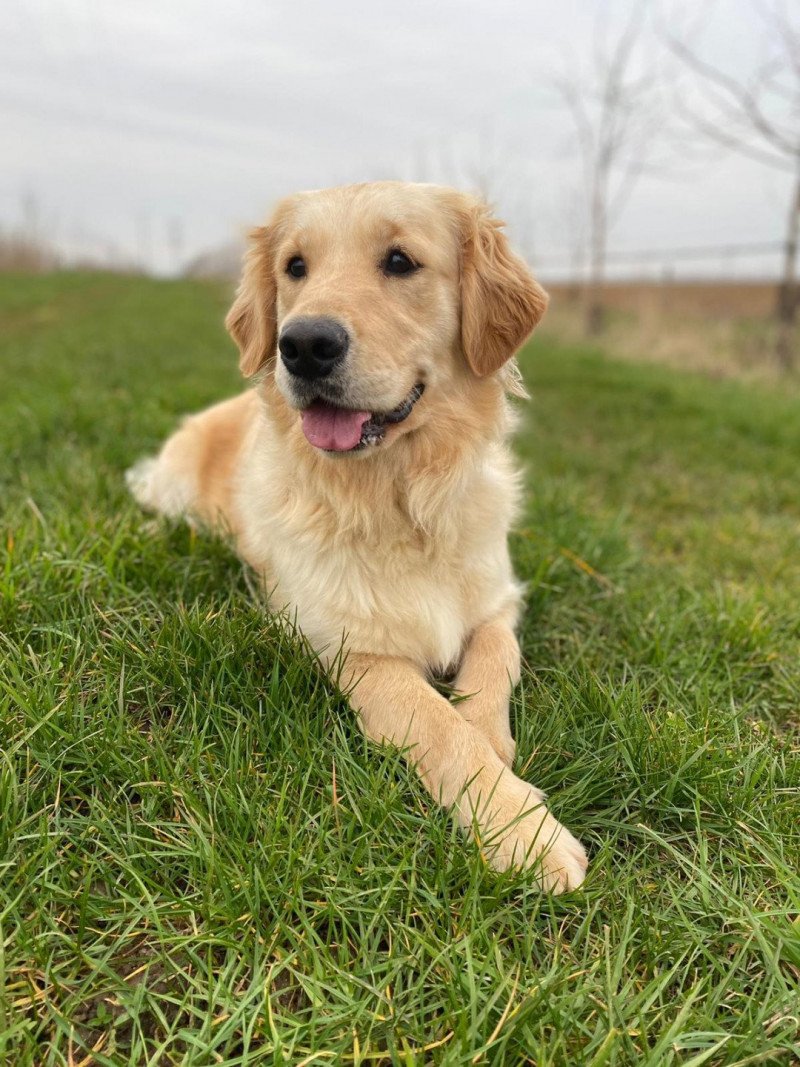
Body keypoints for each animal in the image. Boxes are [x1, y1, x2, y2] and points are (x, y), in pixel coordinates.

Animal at [126, 181, 588, 892]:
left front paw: (499, 752)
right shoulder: (347, 645)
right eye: (295, 267)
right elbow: (437, 724)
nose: (302, 345)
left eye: (400, 262)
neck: (400, 501)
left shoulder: (499, 601)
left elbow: (490, 666)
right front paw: (524, 833)